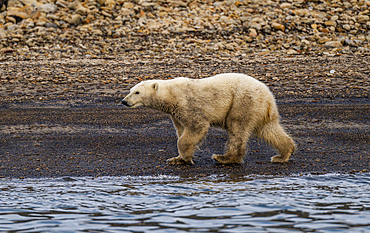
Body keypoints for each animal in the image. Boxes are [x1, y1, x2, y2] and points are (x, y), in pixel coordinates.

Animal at [123, 73, 296, 165]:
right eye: (130, 90)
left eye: (137, 92)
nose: (124, 101)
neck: (170, 95)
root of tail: (268, 96)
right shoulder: (175, 113)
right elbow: (181, 130)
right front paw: (176, 158)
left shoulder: (187, 104)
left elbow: (196, 127)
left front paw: (186, 158)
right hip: (259, 109)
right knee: (270, 129)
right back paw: (282, 155)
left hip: (242, 102)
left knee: (237, 128)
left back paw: (224, 158)